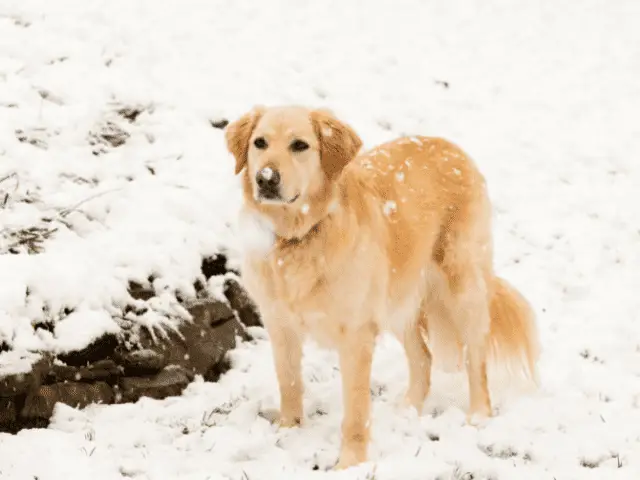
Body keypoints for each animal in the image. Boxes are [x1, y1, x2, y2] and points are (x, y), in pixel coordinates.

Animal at [225, 105, 540, 468]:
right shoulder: (280, 326)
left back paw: (478, 415)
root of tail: (450, 147)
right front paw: (288, 432)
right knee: (423, 358)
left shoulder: (356, 335)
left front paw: (350, 463)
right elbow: (288, 384)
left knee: (476, 355)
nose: (265, 178)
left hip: (464, 287)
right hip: (397, 301)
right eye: (260, 143)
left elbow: (355, 410)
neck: (299, 238)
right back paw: (408, 411)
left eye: (299, 145)